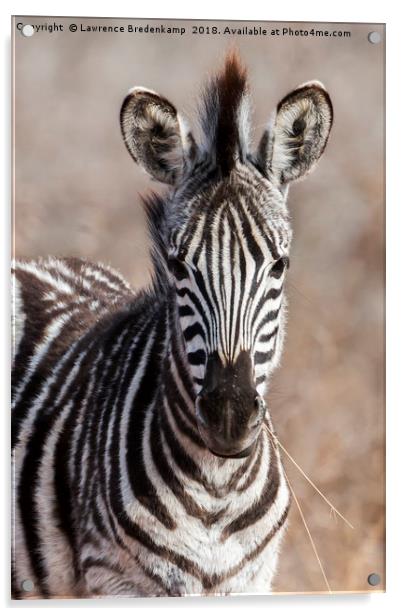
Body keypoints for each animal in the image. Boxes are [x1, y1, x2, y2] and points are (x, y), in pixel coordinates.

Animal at [11, 51, 332, 596]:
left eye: (280, 266)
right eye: (179, 266)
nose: (229, 415)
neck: (217, 490)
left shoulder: (252, 583)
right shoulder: (114, 581)